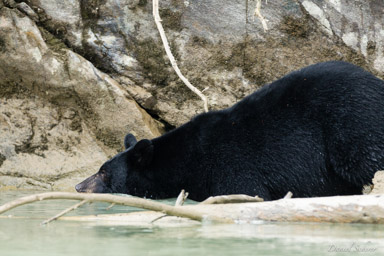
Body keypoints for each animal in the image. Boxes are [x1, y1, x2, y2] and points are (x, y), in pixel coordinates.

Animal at [76, 61, 384, 201]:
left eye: (103, 172)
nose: (78, 186)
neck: (186, 160)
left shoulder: (231, 166)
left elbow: (245, 191)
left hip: (353, 122)